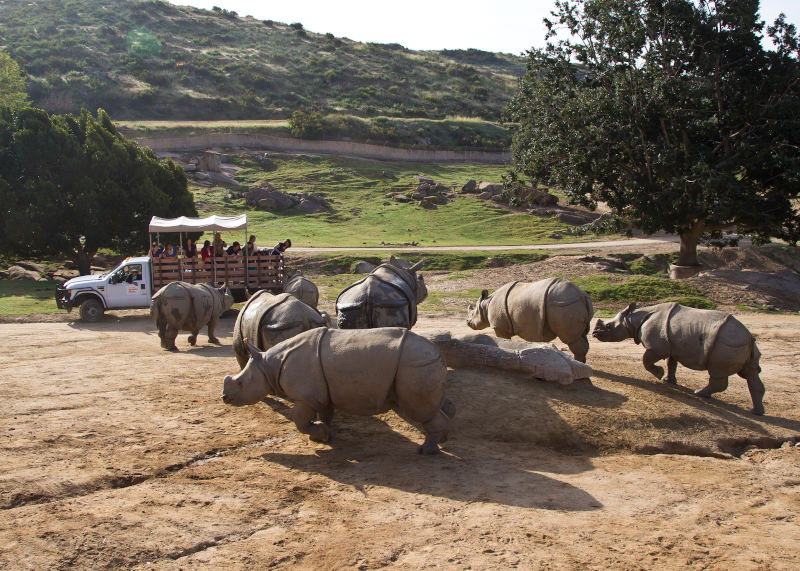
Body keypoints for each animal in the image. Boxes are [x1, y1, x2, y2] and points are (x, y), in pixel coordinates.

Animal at [222, 326, 454, 456]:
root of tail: (438, 352)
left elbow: (299, 421)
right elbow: (325, 414)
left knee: (419, 410)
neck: (269, 366)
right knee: (432, 406)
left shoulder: (305, 397)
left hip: (414, 364)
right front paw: (323, 436)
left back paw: (426, 451)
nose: (224, 398)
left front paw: (318, 434)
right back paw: (441, 441)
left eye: (241, 383)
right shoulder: (321, 394)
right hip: (419, 363)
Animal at [592, 304, 764, 416]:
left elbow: (646, 360)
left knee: (717, 372)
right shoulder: (671, 345)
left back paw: (700, 393)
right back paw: (756, 412)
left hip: (726, 344)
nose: (594, 333)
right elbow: (671, 363)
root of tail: (749, 337)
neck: (632, 320)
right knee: (751, 373)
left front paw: (659, 374)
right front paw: (668, 381)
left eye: (609, 326)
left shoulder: (657, 347)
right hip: (741, 344)